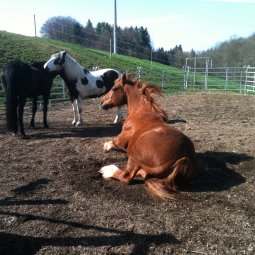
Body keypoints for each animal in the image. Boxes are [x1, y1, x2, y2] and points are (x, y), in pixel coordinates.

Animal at [99, 72, 195, 200]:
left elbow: (111, 142)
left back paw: (108, 170)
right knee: (142, 173)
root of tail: (183, 159)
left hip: (134, 155)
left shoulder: (122, 139)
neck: (141, 112)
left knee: (127, 176)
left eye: (114, 88)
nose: (101, 101)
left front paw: (106, 147)